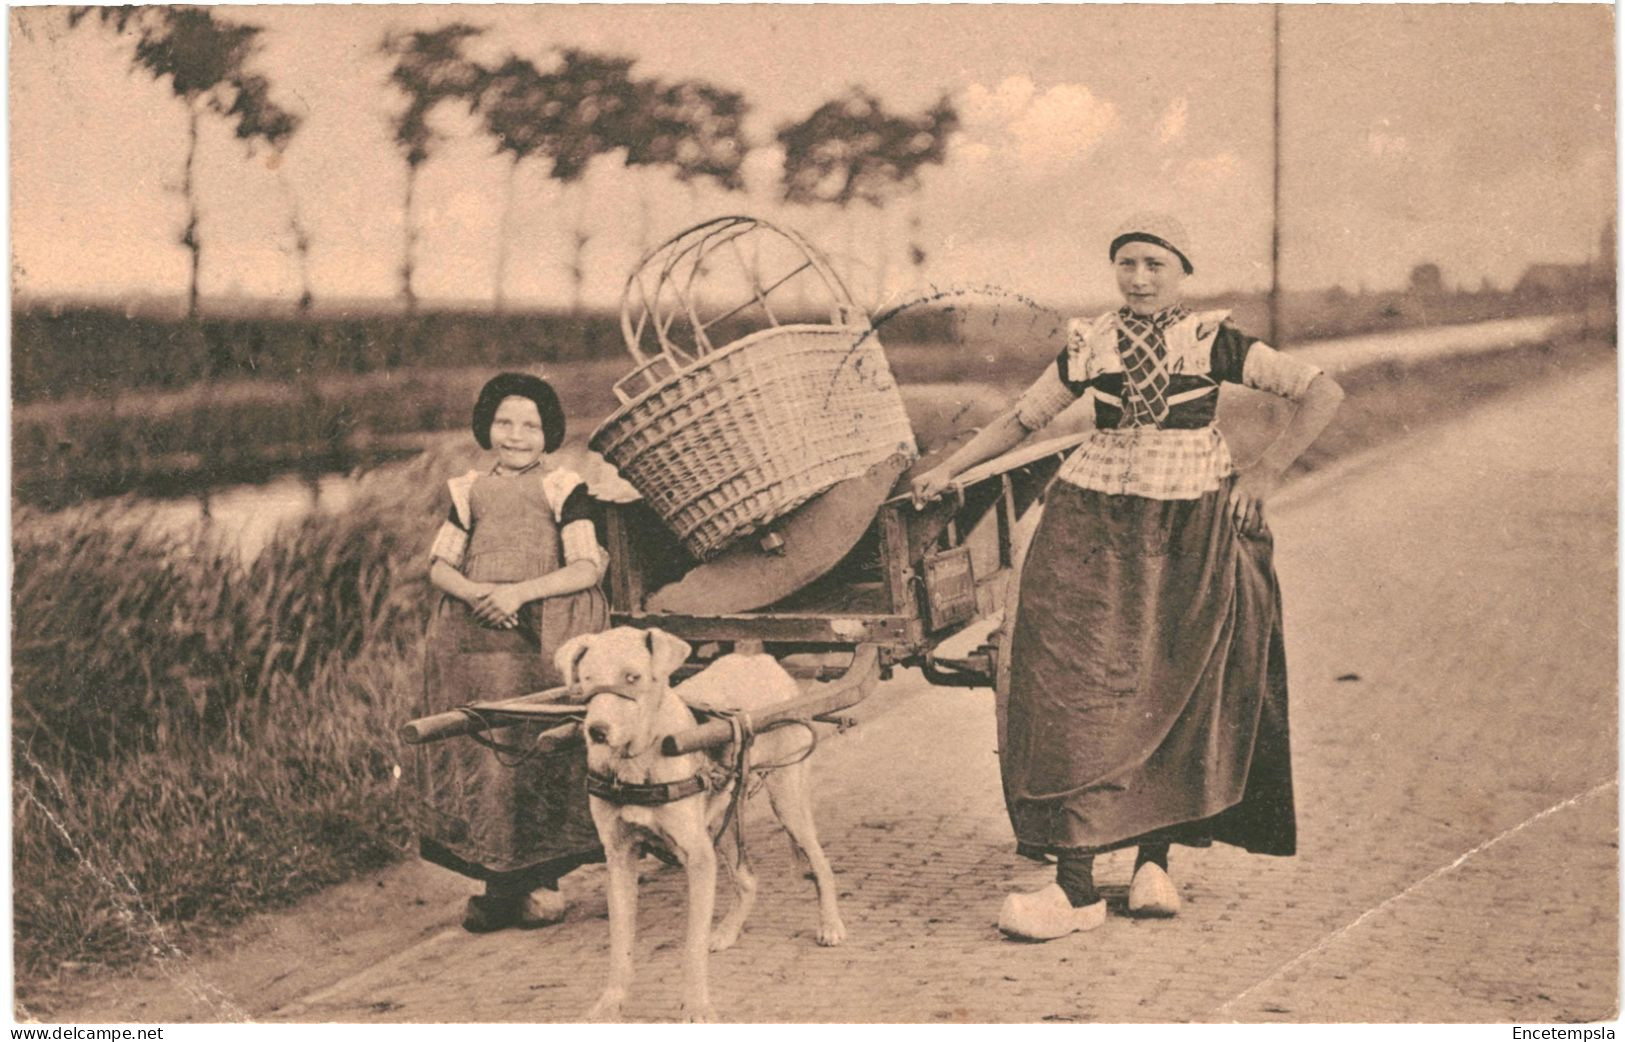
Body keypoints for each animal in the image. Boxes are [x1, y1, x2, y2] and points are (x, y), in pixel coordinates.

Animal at [552, 620, 845, 1020]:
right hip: (725, 819)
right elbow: (620, 944)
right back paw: (726, 931)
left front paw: (697, 1006)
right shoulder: (619, 858)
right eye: (586, 680)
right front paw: (611, 1002)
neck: (638, 762)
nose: (597, 731)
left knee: (820, 863)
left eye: (633, 677)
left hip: (788, 799)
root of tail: (762, 659)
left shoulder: (699, 858)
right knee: (748, 880)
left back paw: (830, 924)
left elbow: (691, 946)